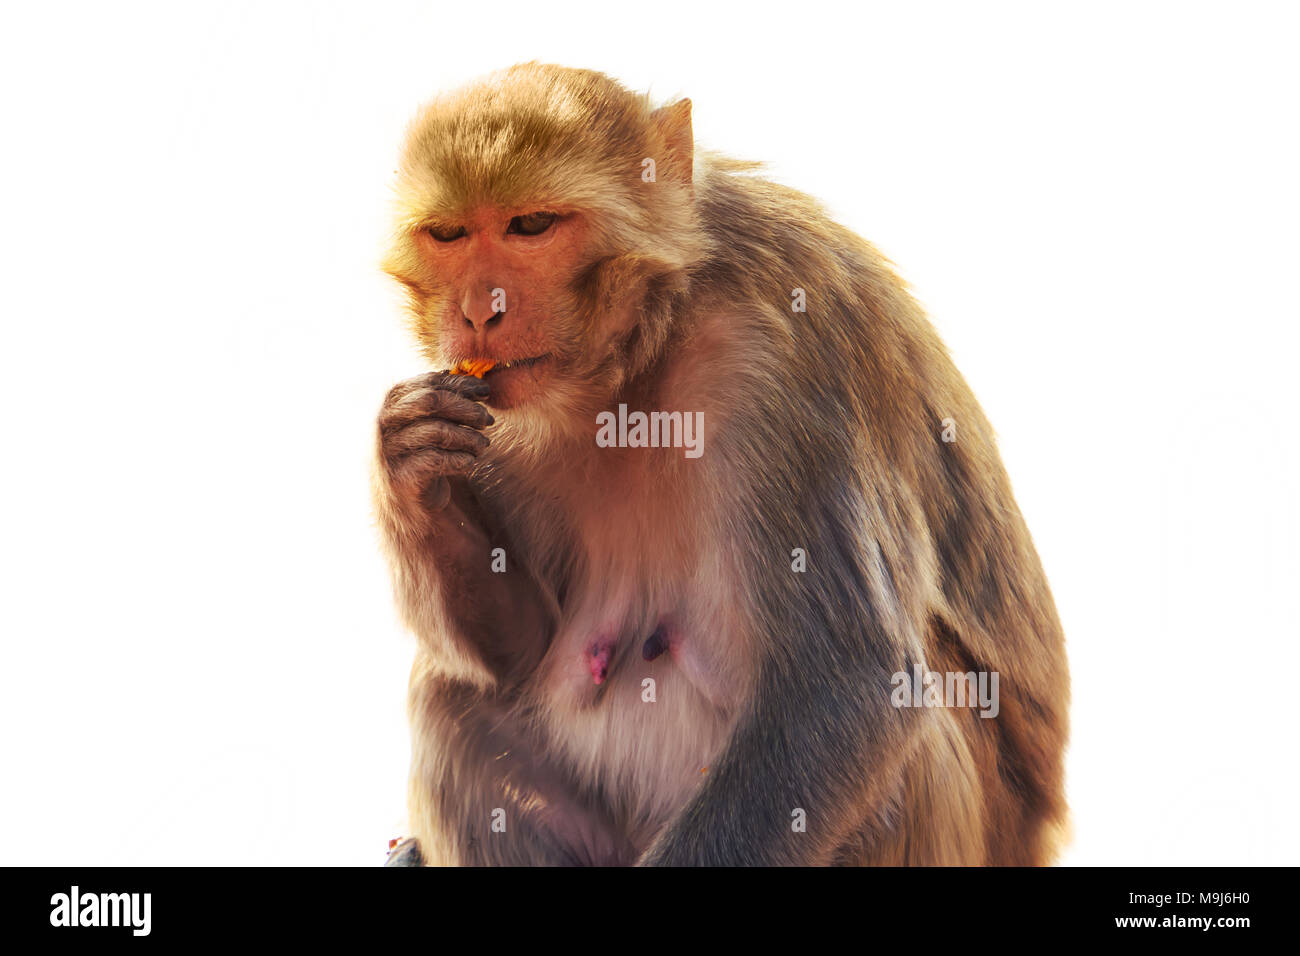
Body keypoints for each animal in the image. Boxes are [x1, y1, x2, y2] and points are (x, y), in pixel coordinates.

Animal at [373, 62, 1069, 866]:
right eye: (448, 234)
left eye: (531, 226)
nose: (479, 311)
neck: (644, 347)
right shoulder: (499, 406)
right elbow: (520, 649)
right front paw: (410, 466)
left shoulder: (778, 356)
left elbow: (847, 683)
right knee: (454, 697)